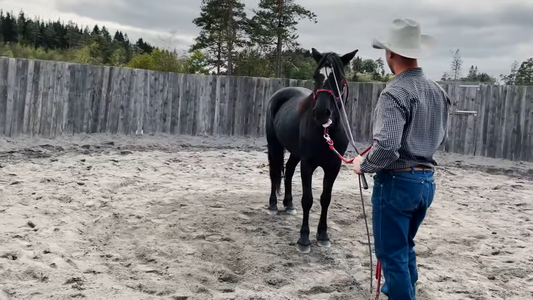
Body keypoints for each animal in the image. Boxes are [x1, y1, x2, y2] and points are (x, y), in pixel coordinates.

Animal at [264, 47, 358, 253]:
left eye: (339, 78)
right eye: (316, 76)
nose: (321, 113)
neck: (326, 131)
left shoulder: (334, 166)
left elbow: (325, 199)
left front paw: (323, 235)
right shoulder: (308, 164)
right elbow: (308, 199)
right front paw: (304, 239)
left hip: (295, 152)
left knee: (289, 171)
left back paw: (289, 204)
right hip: (274, 144)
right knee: (275, 172)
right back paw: (273, 205)